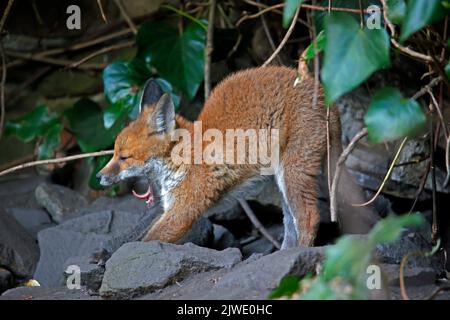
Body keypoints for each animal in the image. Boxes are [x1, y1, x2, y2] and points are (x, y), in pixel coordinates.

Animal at [97, 66, 376, 249]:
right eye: (114, 153)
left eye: (124, 157)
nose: (99, 177)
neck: (182, 157)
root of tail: (327, 97)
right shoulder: (171, 207)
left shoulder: (184, 210)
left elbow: (144, 241)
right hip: (283, 182)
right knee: (291, 225)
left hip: (294, 174)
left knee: (309, 218)